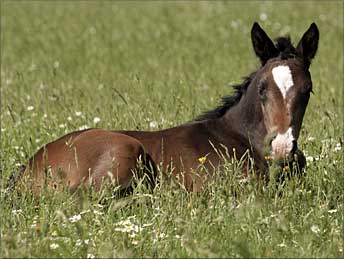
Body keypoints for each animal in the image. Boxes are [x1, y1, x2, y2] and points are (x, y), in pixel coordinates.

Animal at [10, 22, 318, 195]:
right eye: (262, 89)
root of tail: (28, 168)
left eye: (307, 91)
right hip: (124, 148)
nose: (281, 147)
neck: (240, 141)